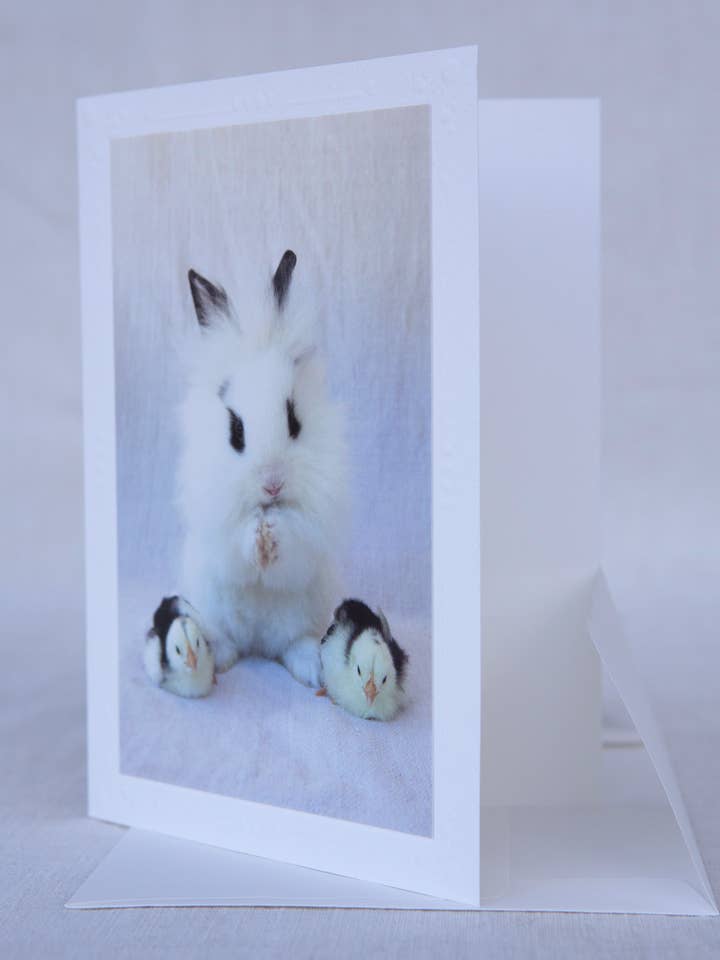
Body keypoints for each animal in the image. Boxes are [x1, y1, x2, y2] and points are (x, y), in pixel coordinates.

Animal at [160, 249, 348, 688]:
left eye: (295, 421)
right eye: (236, 430)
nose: (272, 484)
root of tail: (257, 643)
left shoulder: (311, 533)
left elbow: (293, 539)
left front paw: (273, 532)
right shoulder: (217, 529)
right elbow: (237, 544)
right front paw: (256, 536)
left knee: (292, 643)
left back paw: (313, 670)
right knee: (227, 638)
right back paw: (219, 660)